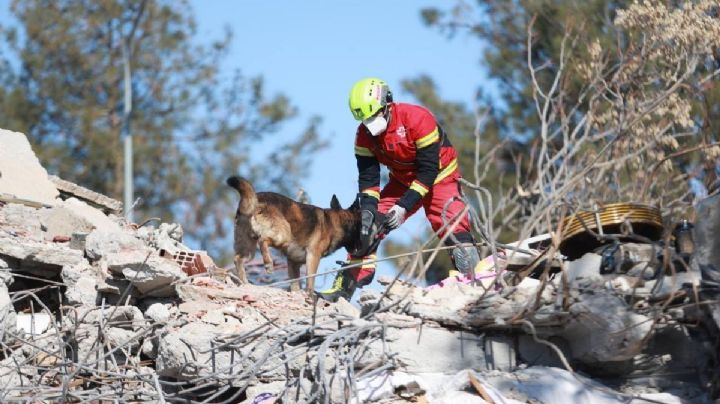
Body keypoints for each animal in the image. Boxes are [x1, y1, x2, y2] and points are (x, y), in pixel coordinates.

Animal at [225, 177, 360, 294]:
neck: (336, 222)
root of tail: (257, 198)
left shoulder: (293, 262)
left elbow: (295, 284)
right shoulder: (313, 256)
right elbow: (310, 281)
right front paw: (310, 295)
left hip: (249, 249)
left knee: (238, 259)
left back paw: (245, 283)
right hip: (283, 236)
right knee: (263, 240)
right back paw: (268, 264)